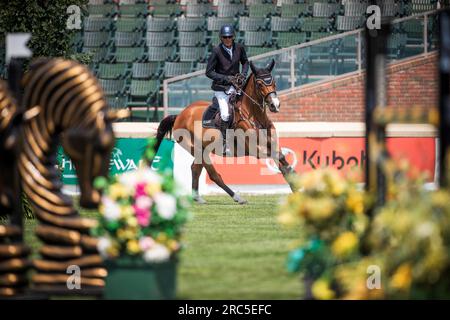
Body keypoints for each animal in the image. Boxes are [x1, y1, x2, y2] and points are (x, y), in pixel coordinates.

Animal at [151, 59, 296, 205]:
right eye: (260, 84)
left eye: (274, 82)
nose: (274, 105)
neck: (255, 117)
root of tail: (180, 115)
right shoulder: (256, 150)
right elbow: (281, 159)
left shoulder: (273, 145)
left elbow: (284, 163)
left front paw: (296, 188)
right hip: (197, 149)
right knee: (214, 175)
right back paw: (237, 197)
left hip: (202, 150)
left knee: (195, 169)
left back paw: (197, 198)